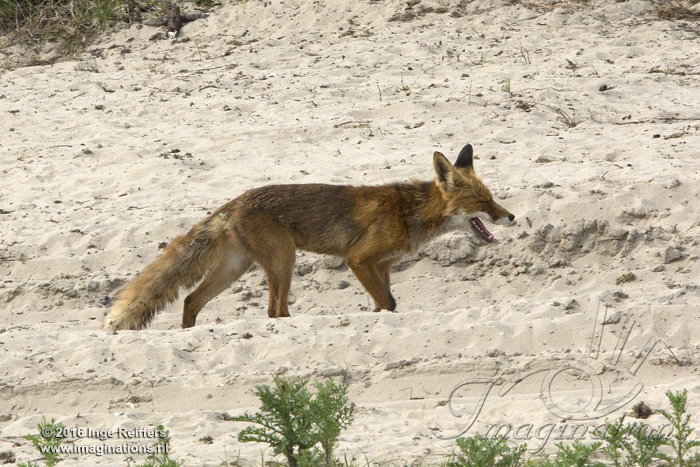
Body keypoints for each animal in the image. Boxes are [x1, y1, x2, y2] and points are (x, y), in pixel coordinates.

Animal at [103, 143, 515, 330]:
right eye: (483, 201)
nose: (510, 216)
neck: (408, 210)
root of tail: (234, 202)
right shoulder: (359, 260)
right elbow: (388, 302)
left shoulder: (381, 266)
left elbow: (387, 304)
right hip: (284, 260)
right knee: (274, 310)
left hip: (236, 268)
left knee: (190, 300)